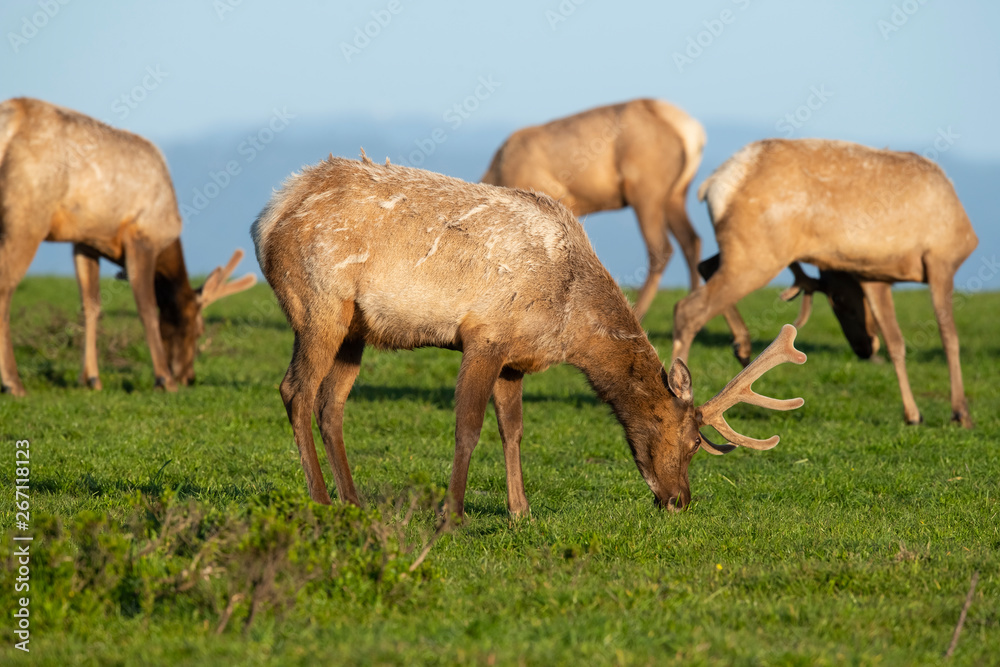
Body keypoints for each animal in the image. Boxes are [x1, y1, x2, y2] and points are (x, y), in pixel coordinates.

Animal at [0, 97, 256, 396]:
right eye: (199, 328)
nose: (188, 377)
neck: (167, 238)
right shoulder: (141, 237)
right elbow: (146, 308)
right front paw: (163, 378)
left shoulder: (85, 240)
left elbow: (91, 306)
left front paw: (90, 378)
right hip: (28, 214)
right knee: (6, 286)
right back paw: (14, 382)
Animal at [251, 152, 807, 519]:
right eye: (692, 443)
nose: (680, 501)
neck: (568, 322)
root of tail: (266, 218)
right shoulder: (484, 336)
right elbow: (468, 426)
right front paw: (452, 513)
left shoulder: (515, 358)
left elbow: (513, 430)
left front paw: (520, 511)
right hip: (319, 304)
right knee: (296, 389)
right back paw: (321, 499)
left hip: (355, 328)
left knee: (332, 403)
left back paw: (353, 500)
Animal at [481, 99, 706, 320]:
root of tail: (694, 134)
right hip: (675, 195)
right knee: (691, 240)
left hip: (646, 192)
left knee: (661, 249)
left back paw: (640, 312)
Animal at [673, 138, 978, 428]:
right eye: (837, 301)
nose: (864, 349)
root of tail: (712, 185)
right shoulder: (941, 259)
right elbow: (949, 337)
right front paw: (961, 413)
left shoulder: (874, 274)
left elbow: (897, 342)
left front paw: (913, 415)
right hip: (757, 253)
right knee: (689, 309)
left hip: (748, 250)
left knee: (705, 267)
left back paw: (743, 345)